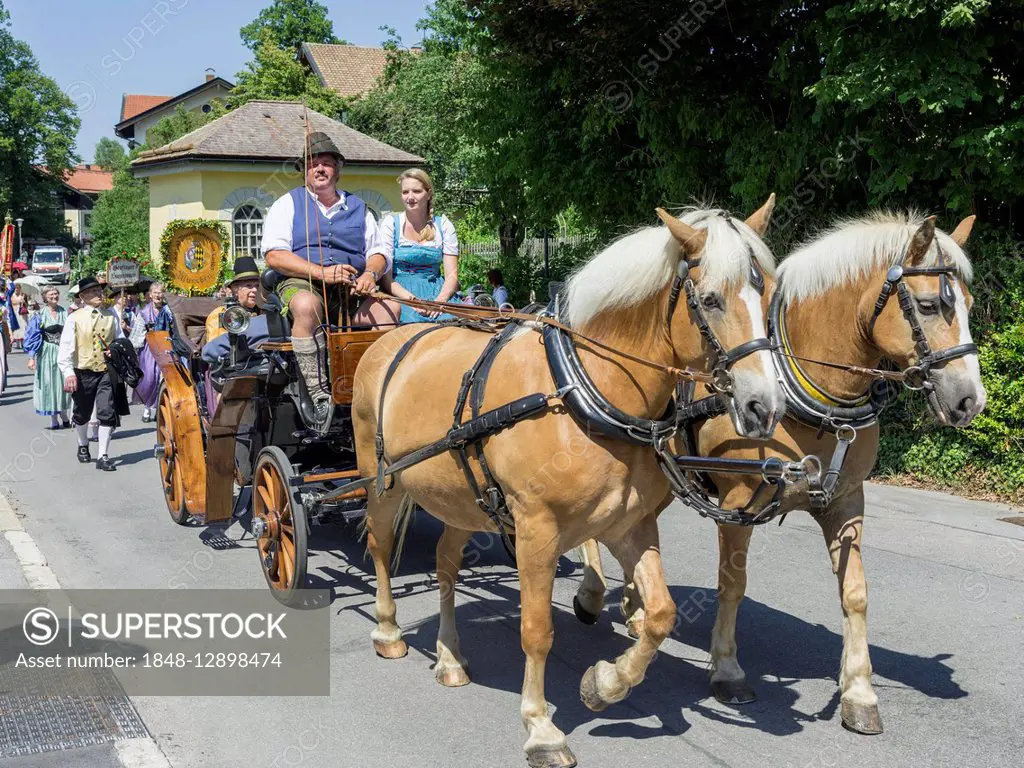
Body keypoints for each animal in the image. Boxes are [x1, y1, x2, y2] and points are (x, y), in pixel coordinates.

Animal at [352, 199, 782, 768]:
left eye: (770, 292)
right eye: (709, 300)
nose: (765, 407)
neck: (583, 391)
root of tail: (394, 339)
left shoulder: (630, 525)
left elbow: (661, 614)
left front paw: (605, 684)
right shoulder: (537, 530)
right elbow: (537, 631)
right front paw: (541, 727)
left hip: (463, 497)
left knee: (445, 564)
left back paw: (449, 656)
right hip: (383, 482)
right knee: (381, 546)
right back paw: (387, 629)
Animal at [577, 210, 983, 741]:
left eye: (971, 305)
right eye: (930, 305)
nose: (970, 400)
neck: (809, 396)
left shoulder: (846, 501)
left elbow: (855, 592)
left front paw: (859, 692)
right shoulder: (738, 503)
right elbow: (733, 584)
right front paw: (727, 669)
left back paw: (634, 607)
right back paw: (593, 594)